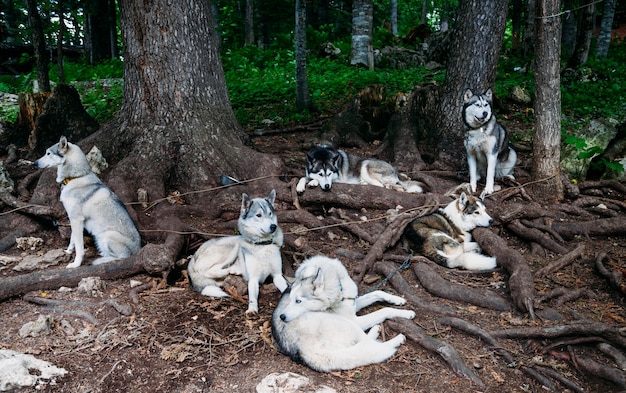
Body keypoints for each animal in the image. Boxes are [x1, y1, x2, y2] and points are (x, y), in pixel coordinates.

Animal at [35, 136, 141, 268]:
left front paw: (76, 264)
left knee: (121, 257)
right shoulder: (74, 220)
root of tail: (137, 250)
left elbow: (79, 247)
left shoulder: (76, 219)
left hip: (106, 236)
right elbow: (72, 240)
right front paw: (68, 251)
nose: (35, 163)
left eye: (48, 153)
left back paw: (101, 260)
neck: (75, 177)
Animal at [270, 254, 412, 370]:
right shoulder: (355, 319)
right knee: (367, 344)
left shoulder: (353, 303)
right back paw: (395, 338)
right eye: (291, 300)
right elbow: (383, 310)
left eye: (298, 301)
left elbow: (377, 292)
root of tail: (304, 351)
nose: (282, 317)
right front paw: (408, 313)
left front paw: (398, 300)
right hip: (347, 324)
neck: (339, 290)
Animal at [294, 144, 422, 193]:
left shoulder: (338, 179)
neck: (323, 153)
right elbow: (303, 177)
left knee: (381, 185)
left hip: (366, 164)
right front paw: (300, 186)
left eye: (329, 174)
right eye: (320, 174)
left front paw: (313, 182)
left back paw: (362, 183)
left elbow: (313, 179)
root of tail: (395, 171)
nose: (327, 186)